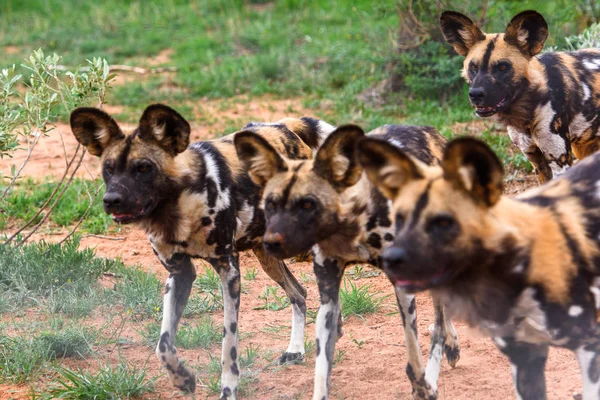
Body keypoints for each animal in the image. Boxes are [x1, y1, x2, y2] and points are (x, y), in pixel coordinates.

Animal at [69, 104, 338, 398]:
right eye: (108, 169)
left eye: (143, 168)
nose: (111, 200)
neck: (176, 209)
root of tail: (282, 126)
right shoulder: (180, 272)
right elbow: (163, 345)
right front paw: (183, 379)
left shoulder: (229, 272)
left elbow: (228, 347)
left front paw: (228, 390)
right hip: (266, 253)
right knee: (299, 293)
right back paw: (296, 350)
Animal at [234, 125, 460, 400]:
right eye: (271, 204)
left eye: (307, 204)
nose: (270, 243)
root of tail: (428, 130)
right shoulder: (328, 299)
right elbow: (321, 371)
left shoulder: (403, 291)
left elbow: (413, 357)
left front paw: (424, 387)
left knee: (439, 322)